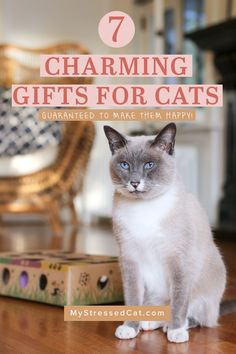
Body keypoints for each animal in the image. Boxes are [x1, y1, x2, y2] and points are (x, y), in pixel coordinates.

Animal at [104, 122, 228, 342]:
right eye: (125, 165)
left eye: (149, 165)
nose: (134, 183)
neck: (143, 209)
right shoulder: (130, 259)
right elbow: (132, 299)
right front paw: (130, 328)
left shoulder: (178, 260)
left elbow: (178, 302)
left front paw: (176, 331)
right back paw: (148, 324)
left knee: (199, 318)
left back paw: (172, 328)